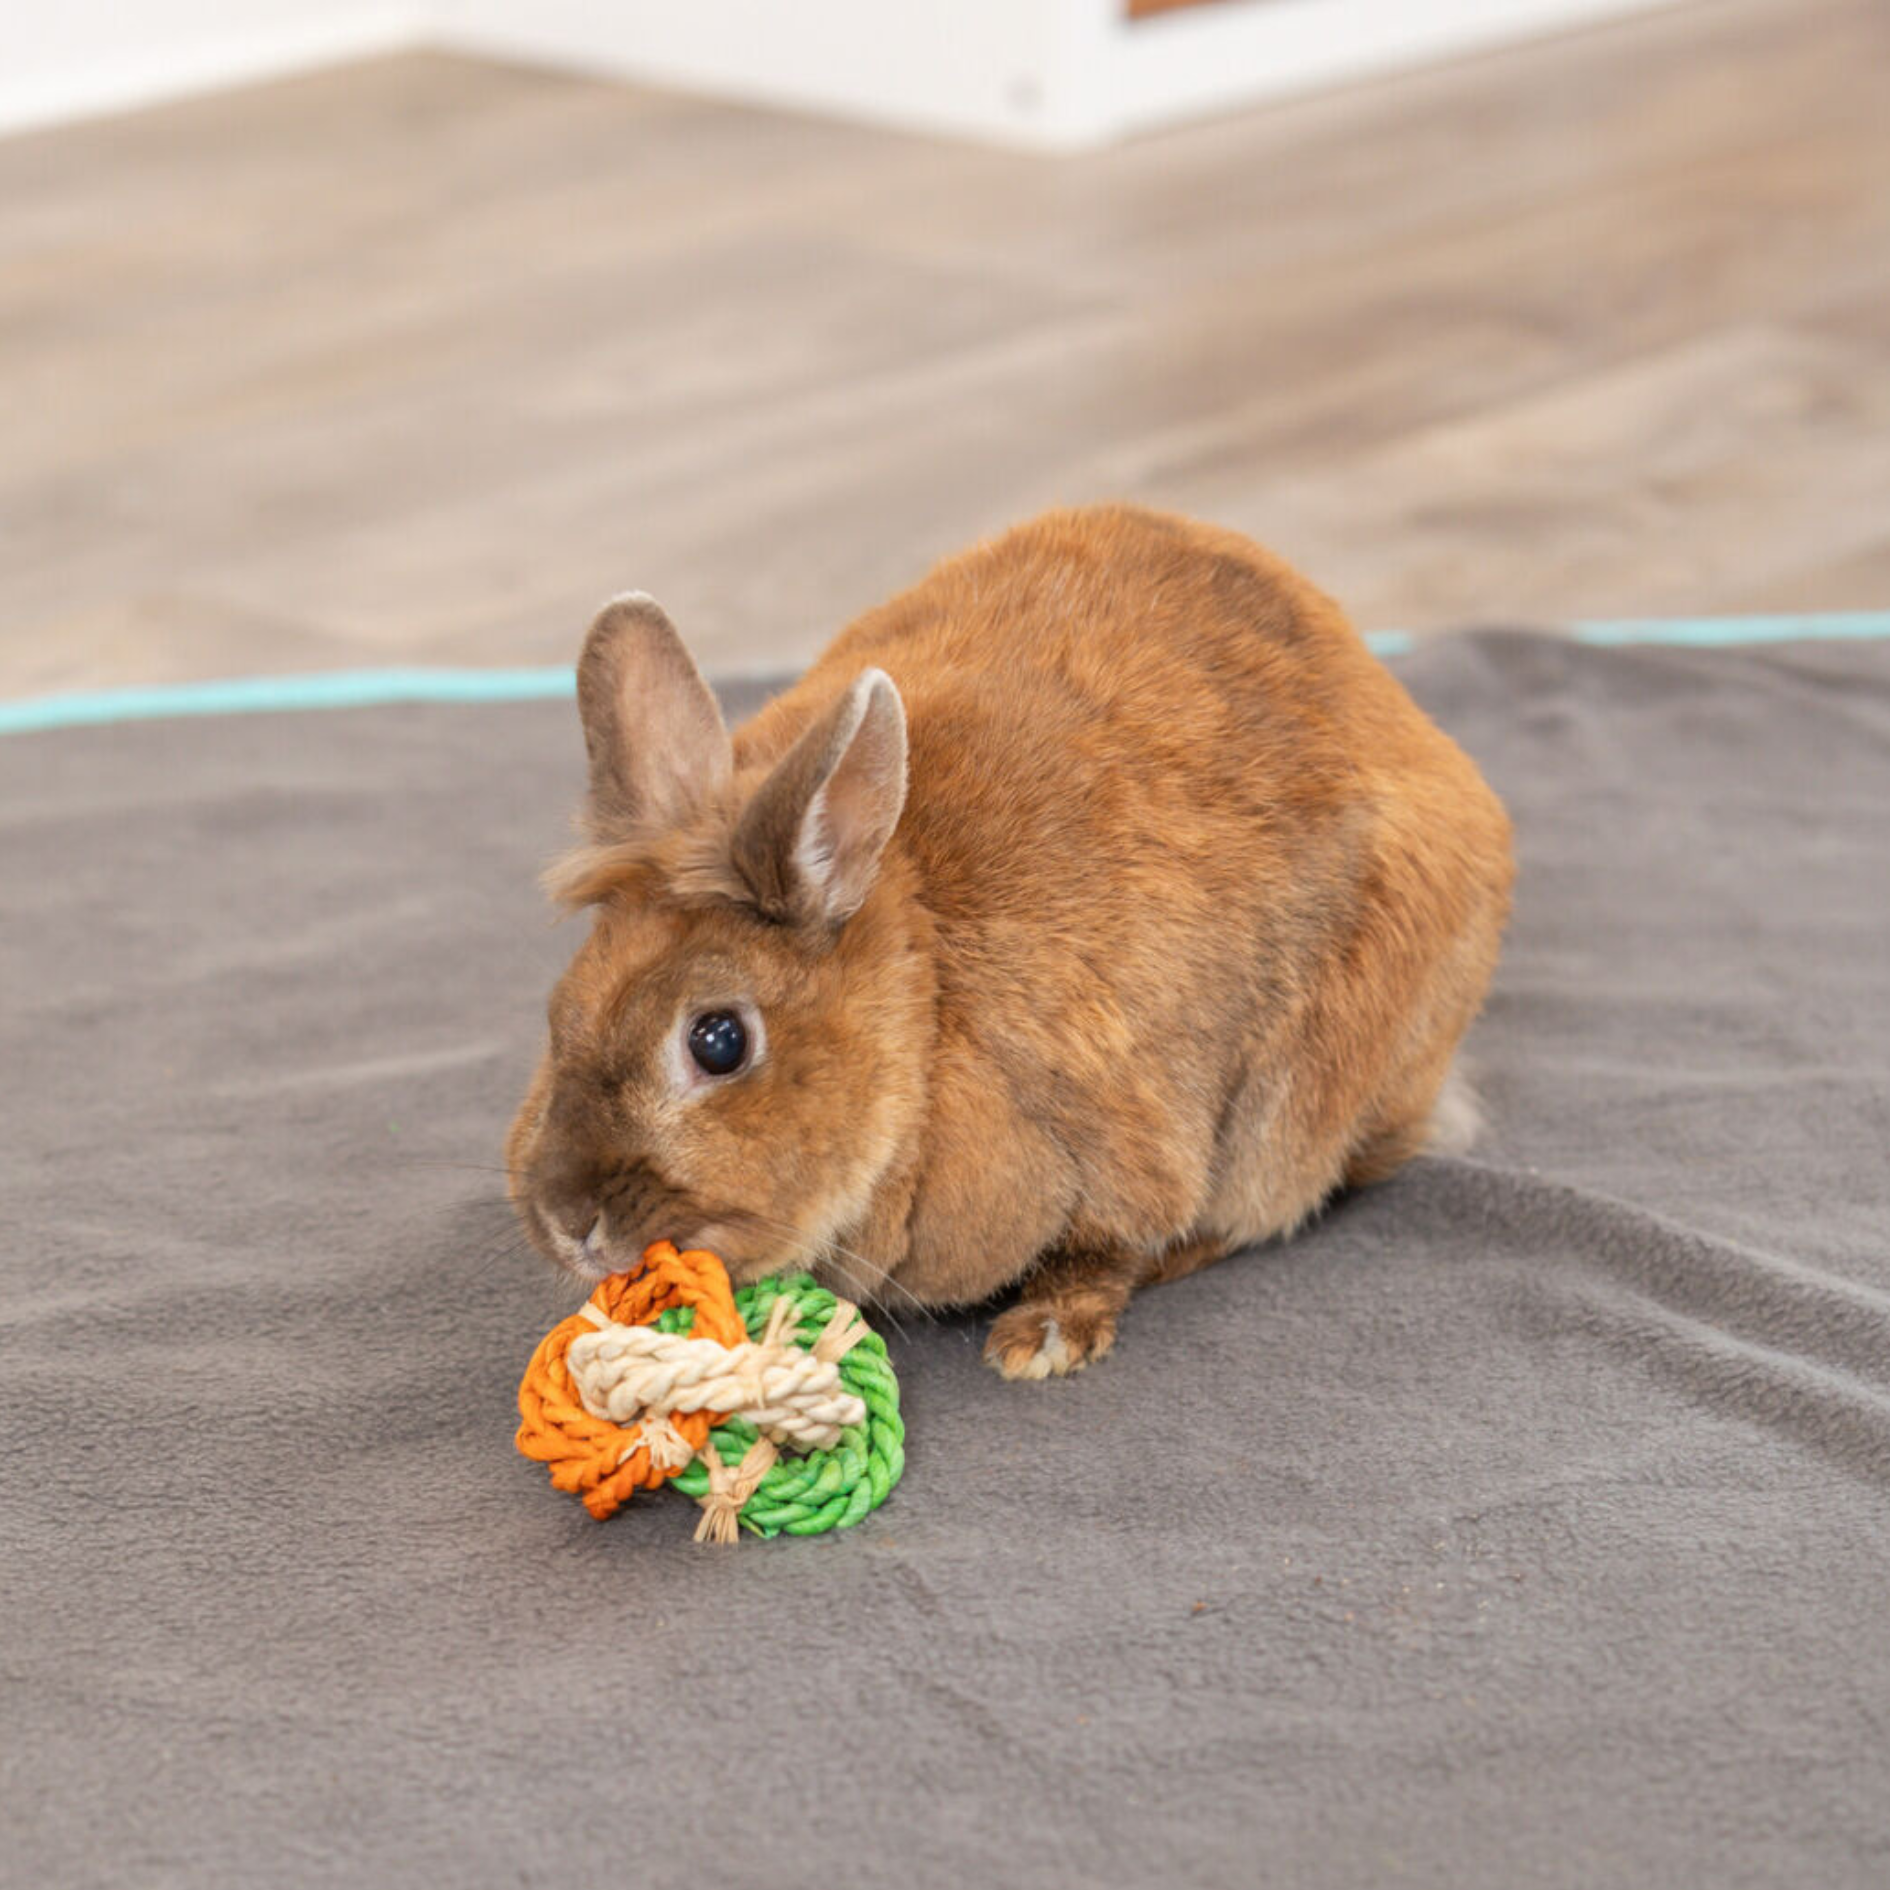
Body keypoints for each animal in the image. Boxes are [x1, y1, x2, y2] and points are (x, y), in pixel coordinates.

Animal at [506, 503, 1513, 1378]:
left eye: (717, 1041)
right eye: (559, 1012)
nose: (568, 1220)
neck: (926, 1015)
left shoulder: (1131, 1138)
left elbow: (1111, 1246)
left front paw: (1043, 1341)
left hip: (1303, 1100)